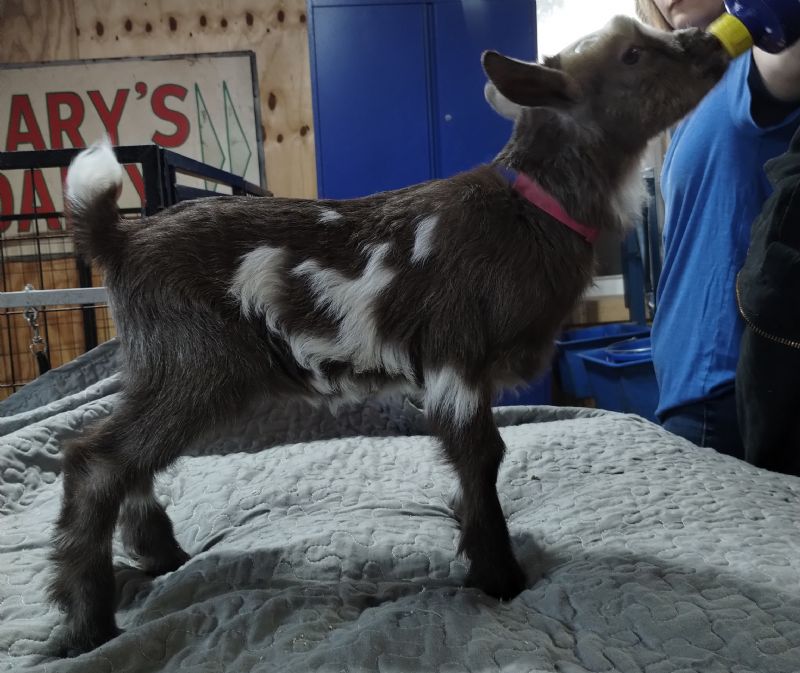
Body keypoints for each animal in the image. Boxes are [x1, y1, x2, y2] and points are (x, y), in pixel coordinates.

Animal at [50, 15, 729, 654]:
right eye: (632, 54)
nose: (712, 44)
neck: (530, 211)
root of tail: (120, 237)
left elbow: (472, 465)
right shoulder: (456, 354)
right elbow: (480, 456)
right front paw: (500, 576)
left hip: (157, 367)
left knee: (124, 457)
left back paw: (161, 558)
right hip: (193, 365)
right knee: (97, 459)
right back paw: (90, 625)